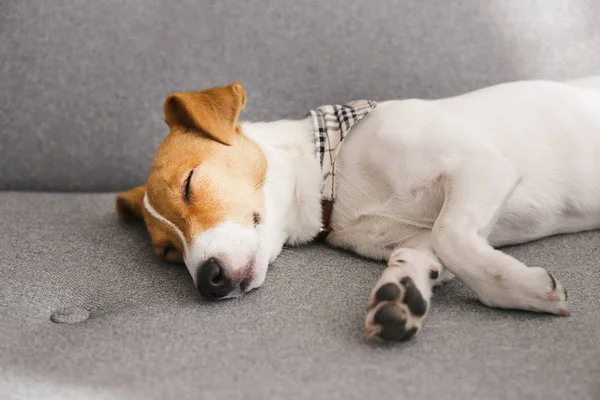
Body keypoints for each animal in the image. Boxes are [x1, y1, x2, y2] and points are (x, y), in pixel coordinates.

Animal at [115, 76, 600, 342]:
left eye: (189, 184)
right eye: (168, 253)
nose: (208, 281)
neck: (334, 172)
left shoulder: (481, 165)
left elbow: (452, 236)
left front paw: (523, 290)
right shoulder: (415, 237)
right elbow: (420, 253)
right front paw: (402, 294)